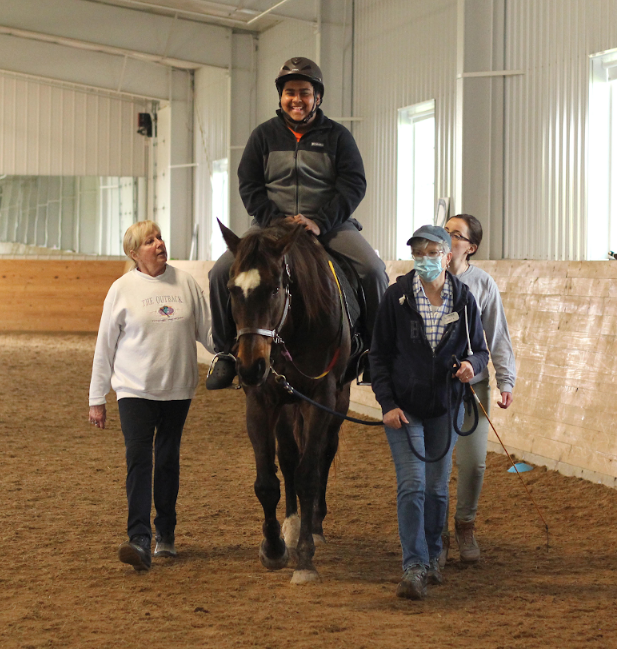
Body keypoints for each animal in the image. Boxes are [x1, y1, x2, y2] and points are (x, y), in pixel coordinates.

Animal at [219, 220, 348, 584]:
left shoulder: (320, 398)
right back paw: (291, 525)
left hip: (336, 402)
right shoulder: (261, 401)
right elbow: (267, 480)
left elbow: (309, 474)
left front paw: (305, 559)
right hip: (287, 404)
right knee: (289, 455)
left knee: (324, 453)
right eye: (232, 290)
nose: (250, 367)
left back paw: (314, 525)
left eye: (275, 289)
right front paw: (274, 548)